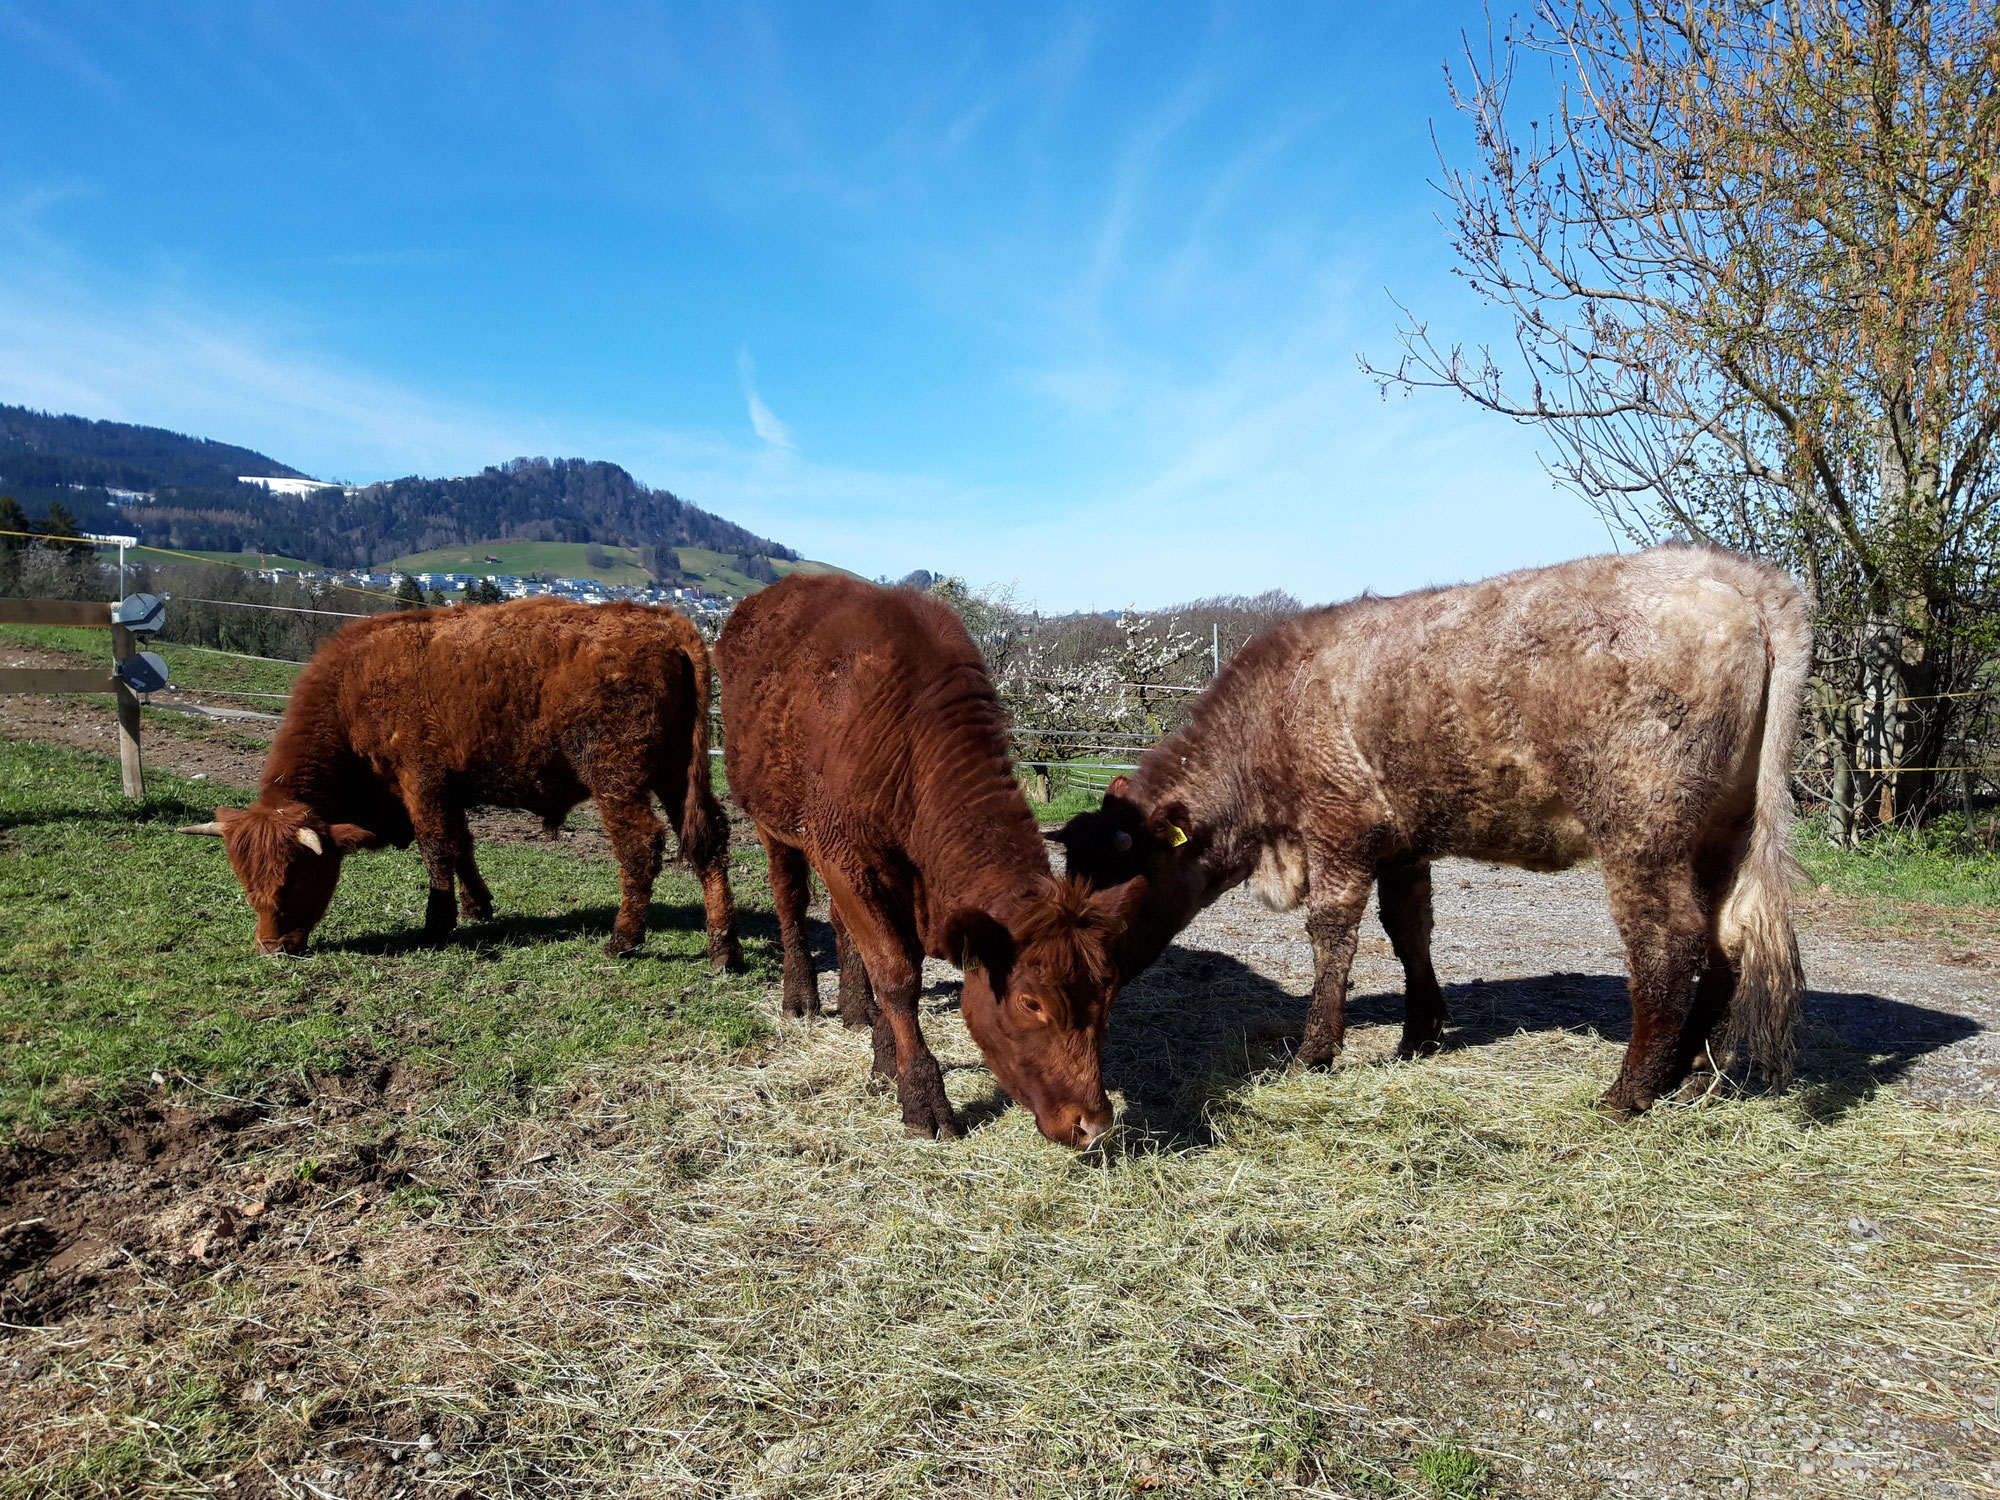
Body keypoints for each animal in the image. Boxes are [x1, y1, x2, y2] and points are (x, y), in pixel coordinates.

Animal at [178, 592, 744, 968]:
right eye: (245, 881)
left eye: (296, 875)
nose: (272, 947)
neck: (350, 689)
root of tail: (666, 623)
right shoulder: (447, 790)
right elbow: (463, 845)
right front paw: (477, 908)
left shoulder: (420, 782)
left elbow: (437, 848)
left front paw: (436, 923)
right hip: (677, 774)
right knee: (708, 841)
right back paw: (723, 949)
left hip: (617, 779)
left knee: (640, 845)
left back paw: (622, 940)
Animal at [716, 580, 1144, 1152]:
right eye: (1031, 1003)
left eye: (1109, 996)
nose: (1093, 1124)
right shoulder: (844, 855)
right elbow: (897, 975)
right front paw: (921, 1096)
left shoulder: (889, 878)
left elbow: (891, 961)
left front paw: (883, 1054)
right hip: (772, 822)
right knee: (791, 899)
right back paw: (801, 995)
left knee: (842, 926)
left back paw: (856, 1009)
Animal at [1064, 548, 1816, 1120]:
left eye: (1111, 903)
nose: (1077, 988)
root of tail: (1737, 574)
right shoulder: (1402, 841)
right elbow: (1409, 930)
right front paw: (1418, 1034)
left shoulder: (1339, 826)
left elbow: (1332, 934)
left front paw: (1315, 1051)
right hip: (1723, 830)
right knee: (1727, 938)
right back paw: (1690, 1074)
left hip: (1642, 825)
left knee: (1669, 943)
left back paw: (1630, 1091)